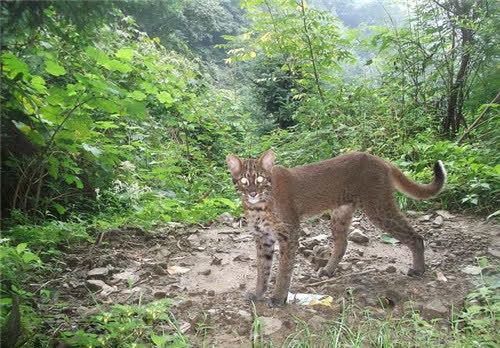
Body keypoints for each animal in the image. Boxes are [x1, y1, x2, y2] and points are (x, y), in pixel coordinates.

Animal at [227, 151, 446, 306]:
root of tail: (378, 158)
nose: (252, 193)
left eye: (260, 179)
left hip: (378, 208)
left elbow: (284, 269)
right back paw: (328, 270)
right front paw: (258, 293)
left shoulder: (289, 233)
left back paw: (418, 270)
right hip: (340, 213)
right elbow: (262, 269)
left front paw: (278, 298)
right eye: (244, 180)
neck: (258, 205)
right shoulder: (263, 237)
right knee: (342, 243)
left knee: (416, 236)